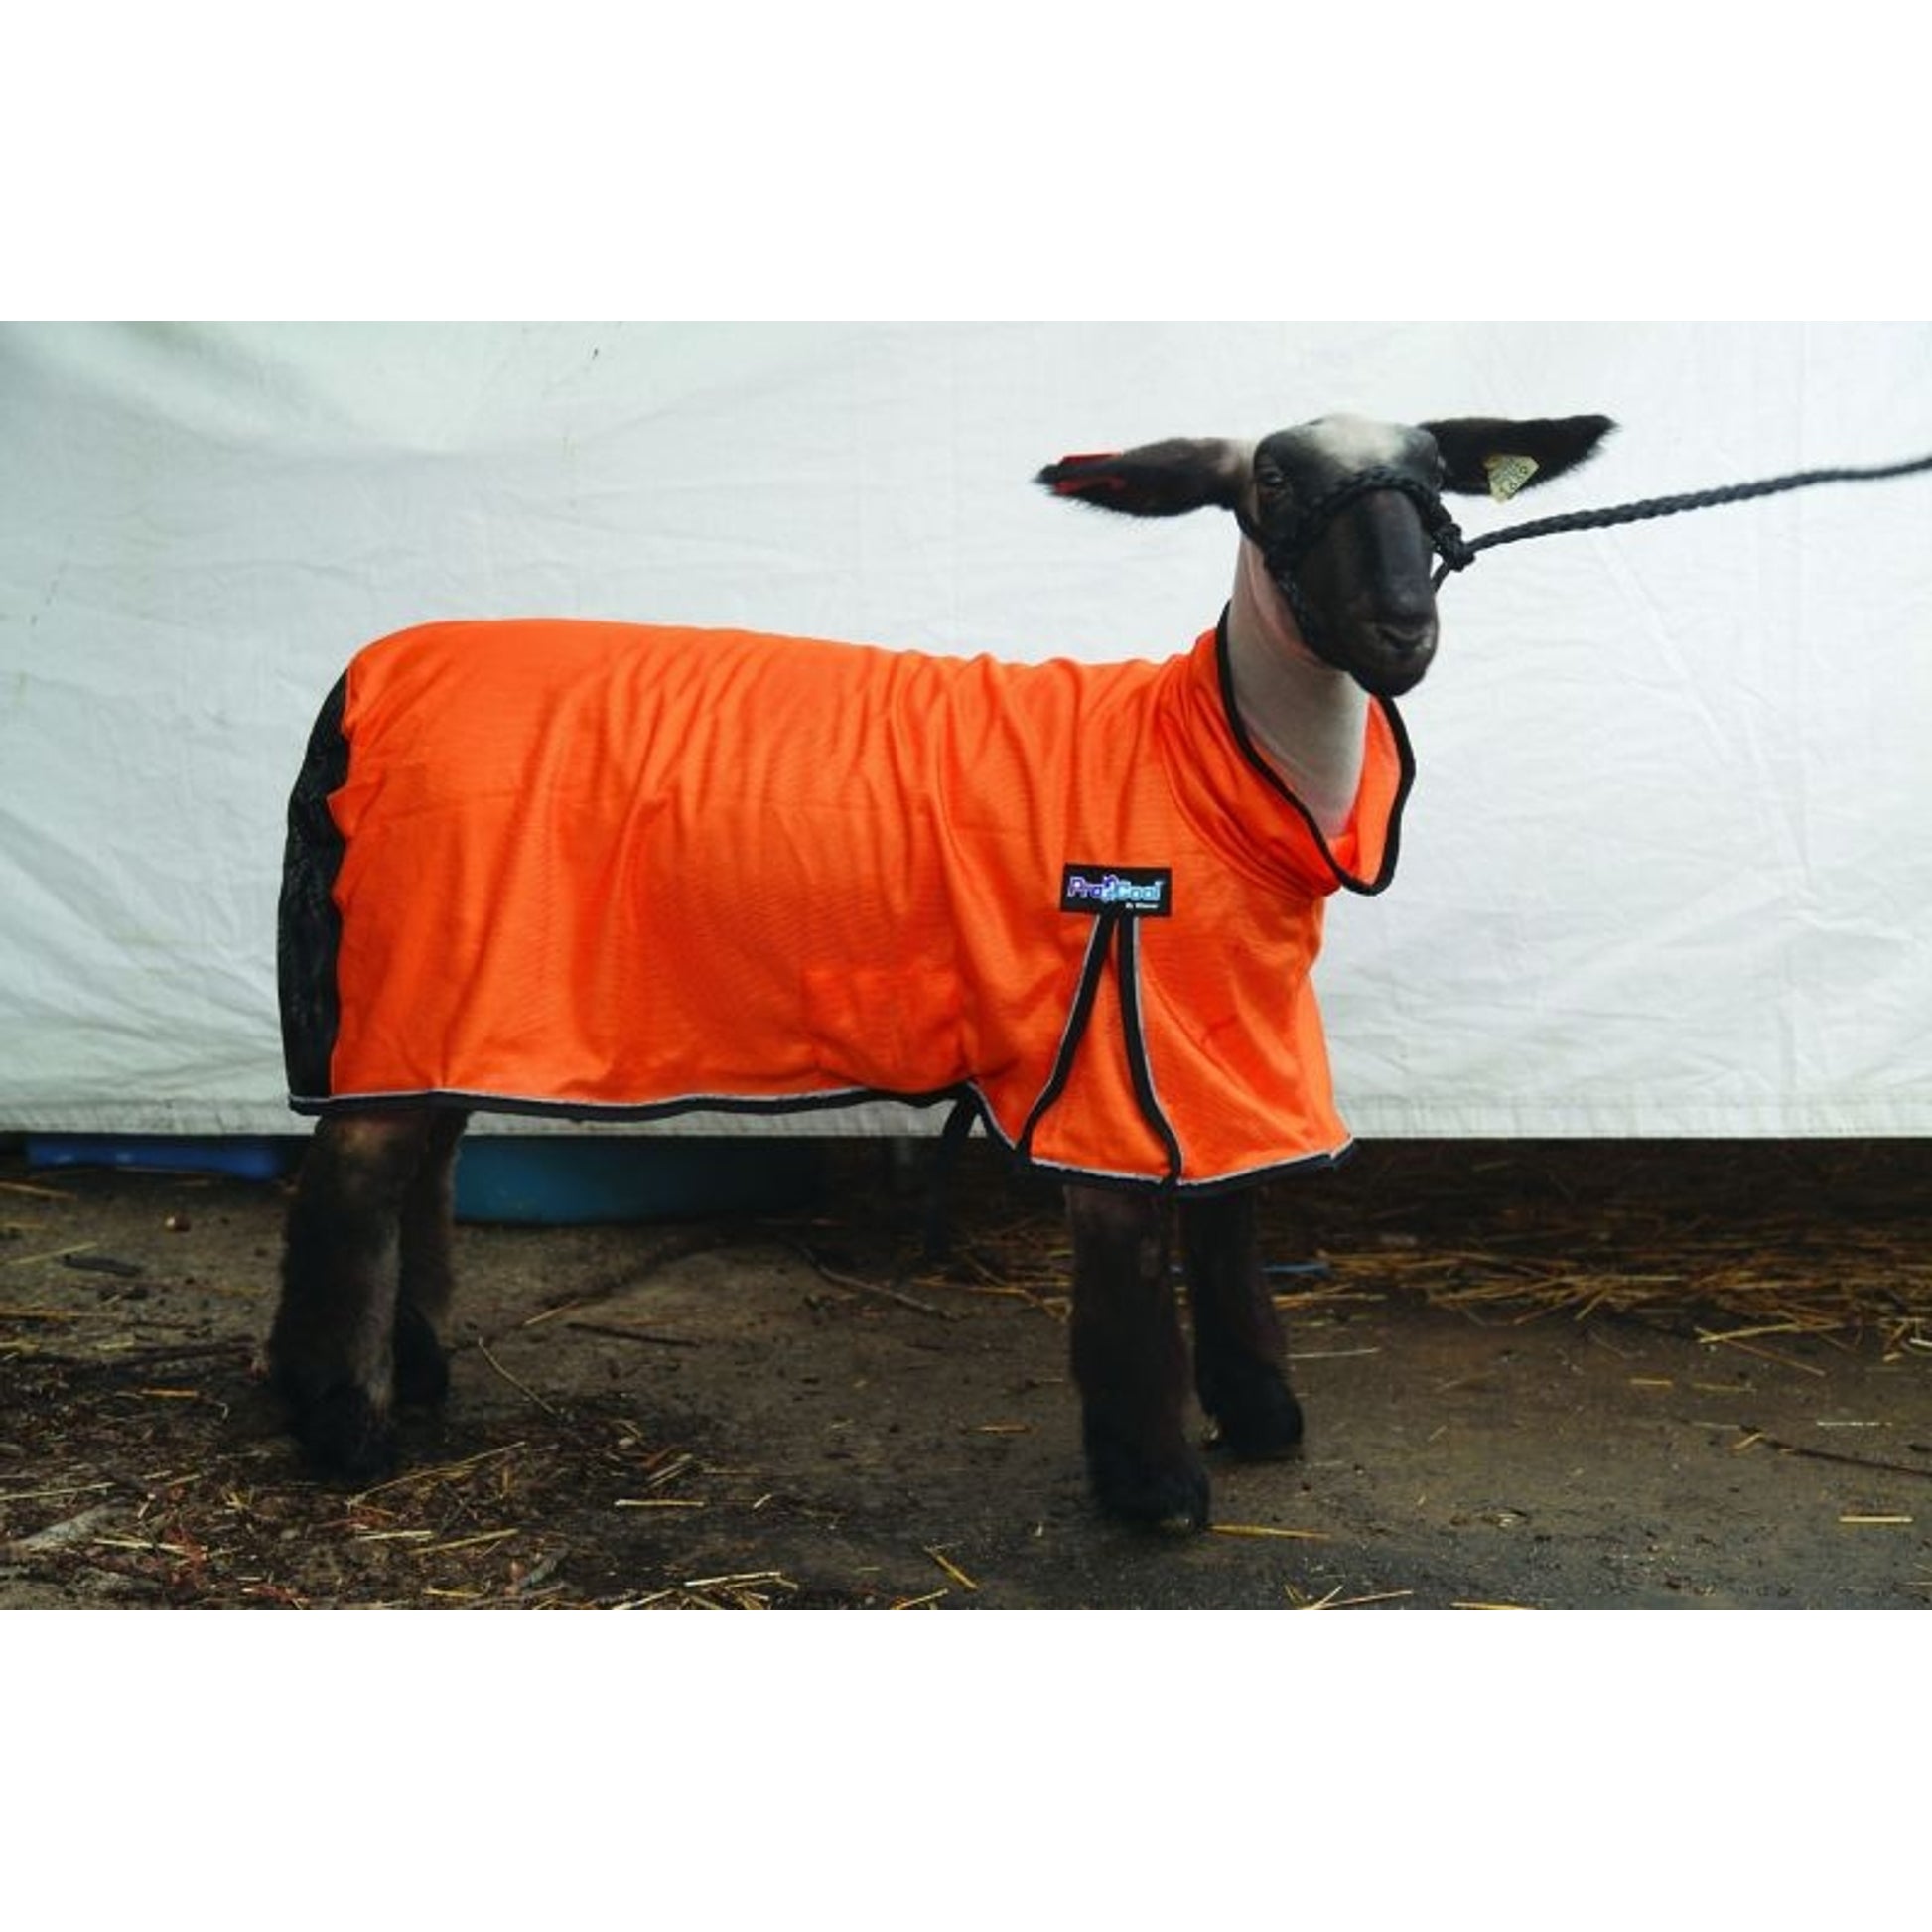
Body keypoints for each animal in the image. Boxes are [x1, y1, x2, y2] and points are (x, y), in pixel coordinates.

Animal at [268, 409, 1614, 1530]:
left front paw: (1260, 1420)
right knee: (354, 1175)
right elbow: (1131, 1258)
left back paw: (415, 1374)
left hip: (445, 986)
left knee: (424, 1159)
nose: (1401, 631)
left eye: (1434, 476)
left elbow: (1230, 1221)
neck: (1218, 756)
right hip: (418, 950)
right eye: (1273, 481)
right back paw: (342, 1428)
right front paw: (1154, 1487)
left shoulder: (1219, 1032)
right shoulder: (1107, 1038)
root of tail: (362, 678)